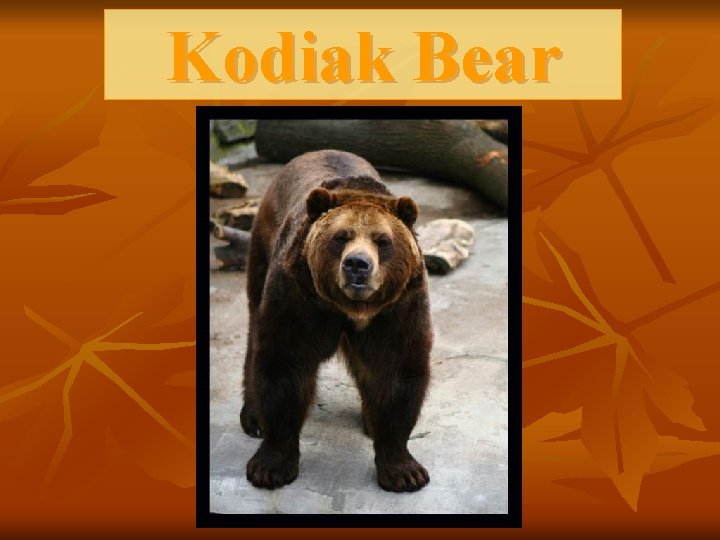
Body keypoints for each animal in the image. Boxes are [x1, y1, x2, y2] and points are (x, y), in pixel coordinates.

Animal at [240, 149, 432, 492]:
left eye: (382, 240)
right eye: (341, 237)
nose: (357, 264)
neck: (349, 309)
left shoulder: (398, 307)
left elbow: (396, 370)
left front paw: (404, 471)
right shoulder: (297, 294)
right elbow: (283, 365)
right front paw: (270, 466)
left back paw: (369, 421)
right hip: (263, 241)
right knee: (255, 326)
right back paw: (252, 418)